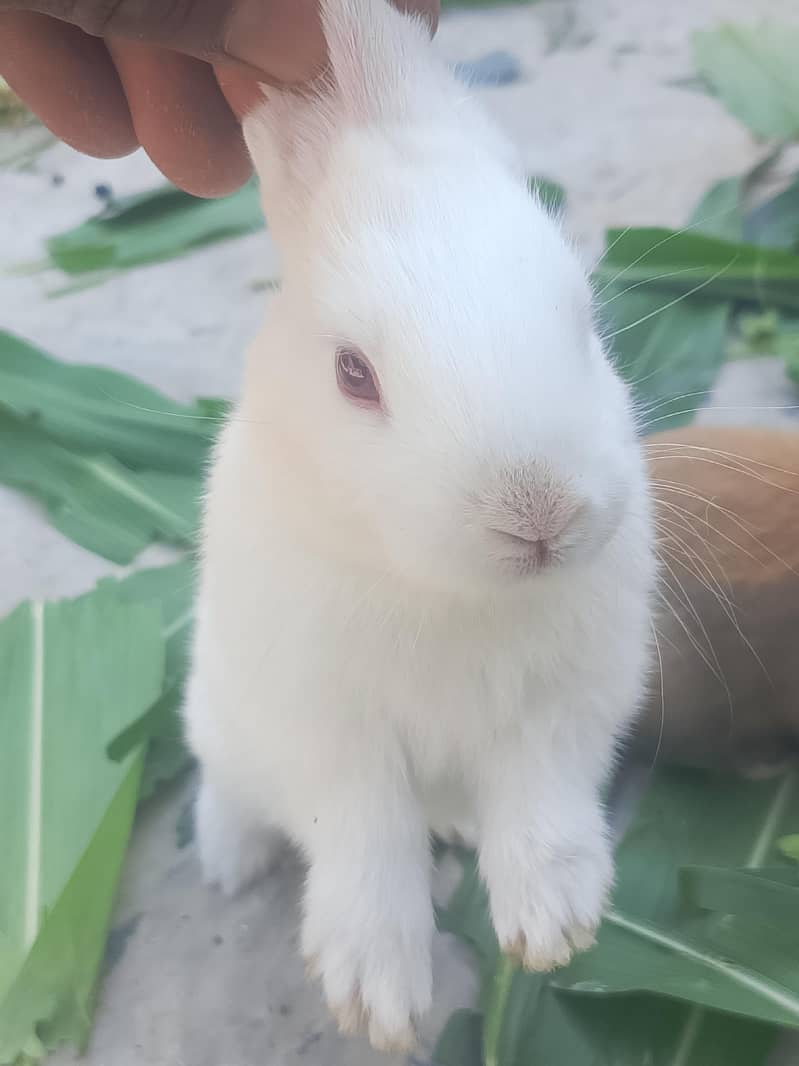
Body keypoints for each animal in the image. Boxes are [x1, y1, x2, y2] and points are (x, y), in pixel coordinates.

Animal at [183, 0, 655, 1050]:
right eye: (353, 374)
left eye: (583, 320)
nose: (539, 516)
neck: (446, 590)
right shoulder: (324, 727)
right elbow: (358, 833)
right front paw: (373, 991)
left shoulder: (566, 700)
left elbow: (540, 794)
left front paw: (553, 924)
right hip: (220, 712)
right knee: (231, 785)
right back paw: (226, 861)